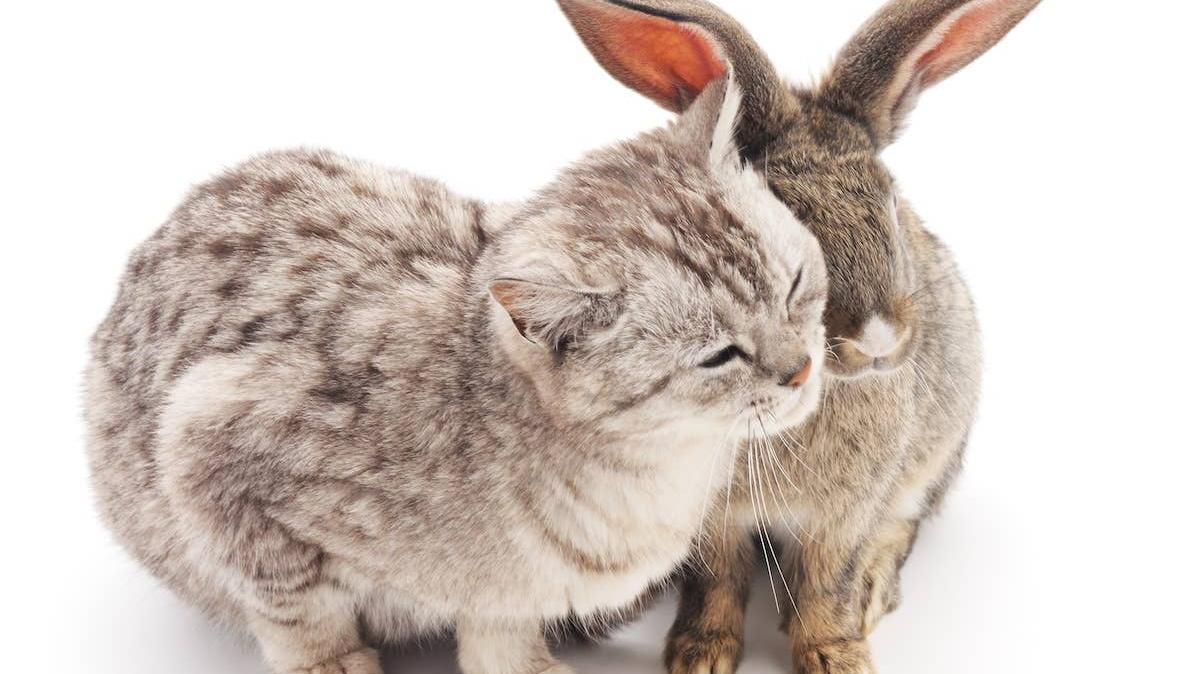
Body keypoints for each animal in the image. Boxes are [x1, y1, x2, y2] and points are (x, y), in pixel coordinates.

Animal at [82, 40, 833, 674]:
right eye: (720, 355)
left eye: (795, 286)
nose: (800, 369)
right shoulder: (215, 449)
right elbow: (299, 613)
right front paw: (334, 663)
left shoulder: (508, 593)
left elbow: (500, 631)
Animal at [557, 0, 1040, 672]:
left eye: (893, 205)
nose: (878, 338)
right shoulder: (709, 520)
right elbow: (715, 581)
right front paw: (699, 655)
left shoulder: (848, 512)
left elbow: (827, 582)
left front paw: (837, 655)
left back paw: (872, 592)